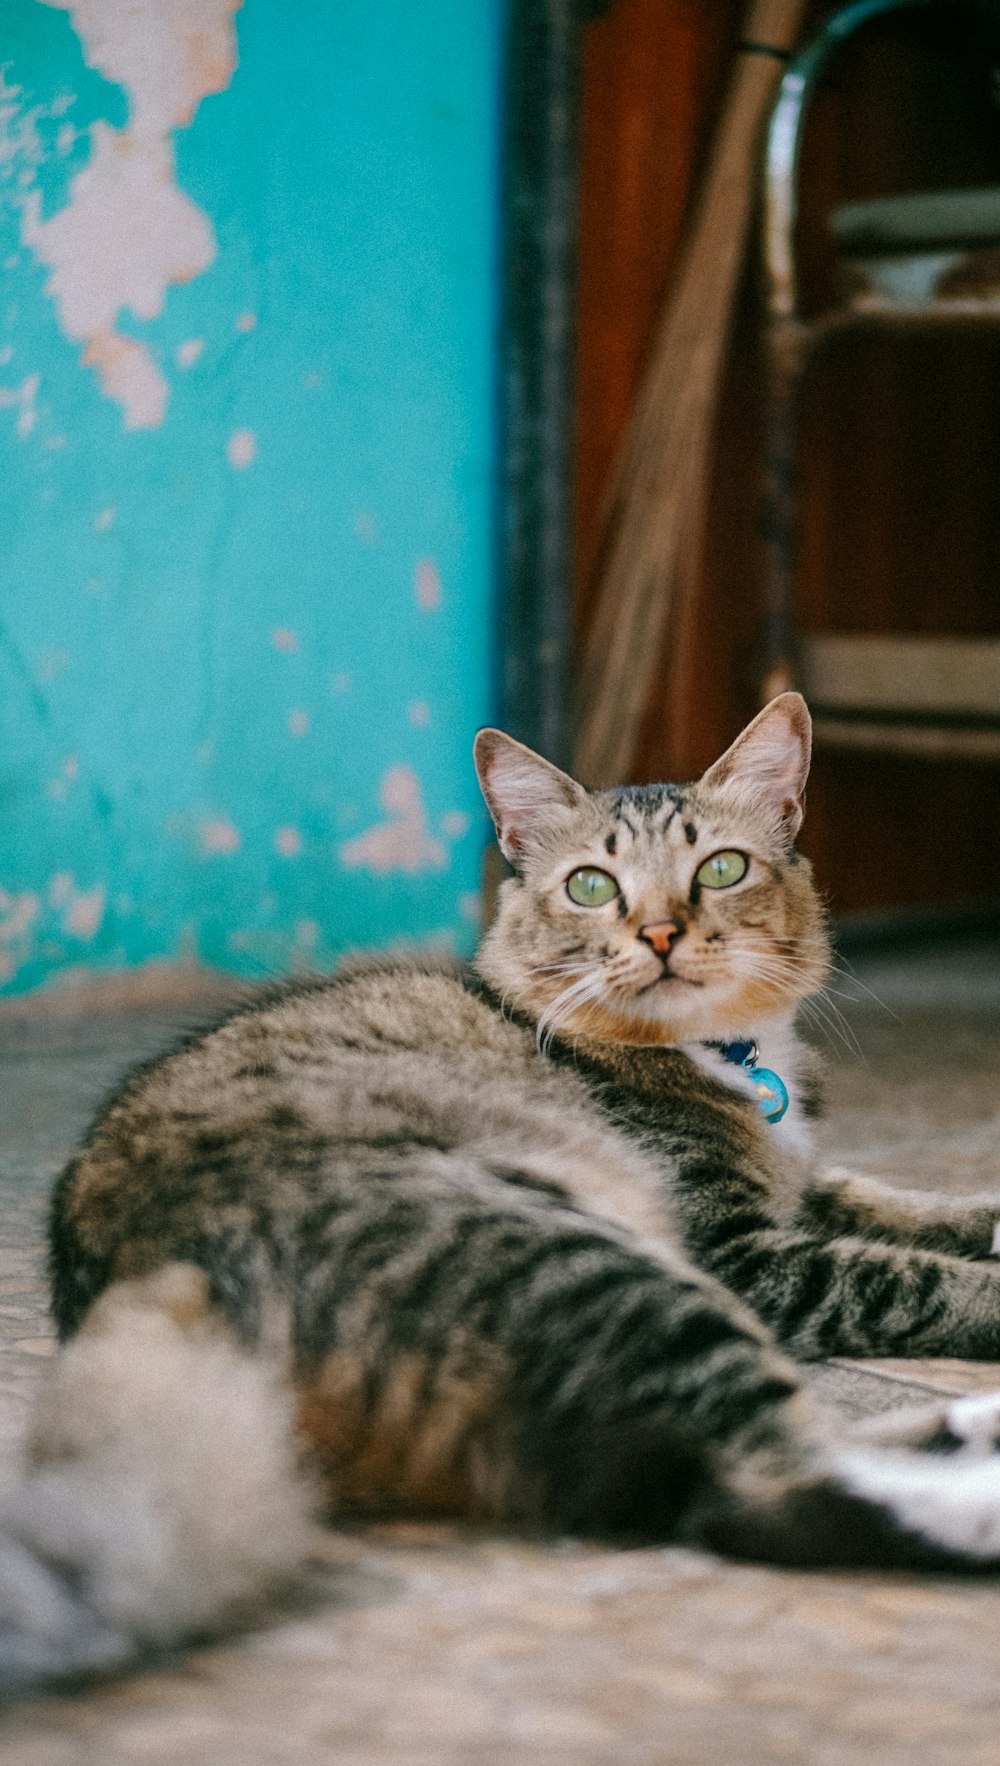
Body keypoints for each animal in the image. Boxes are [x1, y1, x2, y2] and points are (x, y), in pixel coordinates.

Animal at [5, 692, 1000, 1695]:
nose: (661, 935)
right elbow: (911, 1274)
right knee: (754, 1492)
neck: (727, 1057)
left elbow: (908, 1206)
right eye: (592, 886)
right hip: (598, 1268)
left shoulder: (801, 1189)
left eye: (721, 869)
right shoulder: (744, 1253)